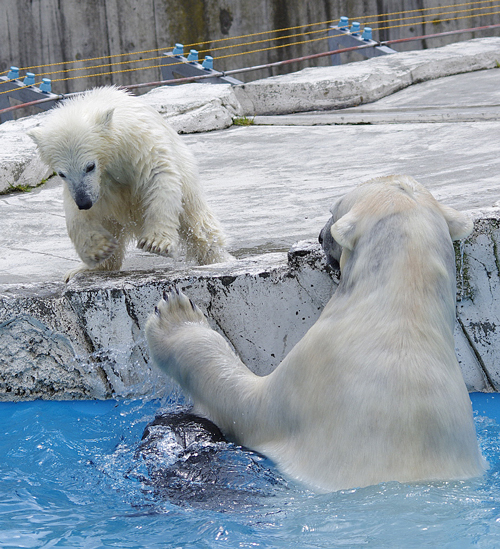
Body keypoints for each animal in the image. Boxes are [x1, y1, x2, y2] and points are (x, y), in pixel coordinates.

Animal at [29, 89, 229, 282]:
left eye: (90, 166)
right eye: (61, 173)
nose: (84, 202)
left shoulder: (137, 143)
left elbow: (159, 175)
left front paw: (155, 243)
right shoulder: (88, 188)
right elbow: (76, 215)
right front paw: (98, 249)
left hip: (188, 186)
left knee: (200, 227)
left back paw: (218, 259)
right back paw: (85, 269)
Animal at [146, 177, 486, 492]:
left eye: (332, 211)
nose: (320, 236)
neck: (402, 311)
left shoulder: (308, 380)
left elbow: (242, 403)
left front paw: (176, 317)